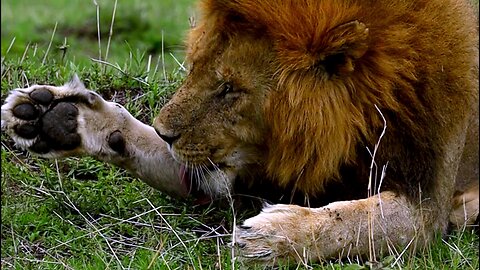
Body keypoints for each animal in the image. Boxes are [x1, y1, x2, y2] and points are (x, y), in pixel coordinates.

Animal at [1, 0, 478, 264]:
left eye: (229, 89)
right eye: (194, 65)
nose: (166, 131)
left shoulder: (426, 202)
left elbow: (360, 220)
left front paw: (275, 236)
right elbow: (141, 143)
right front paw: (60, 117)